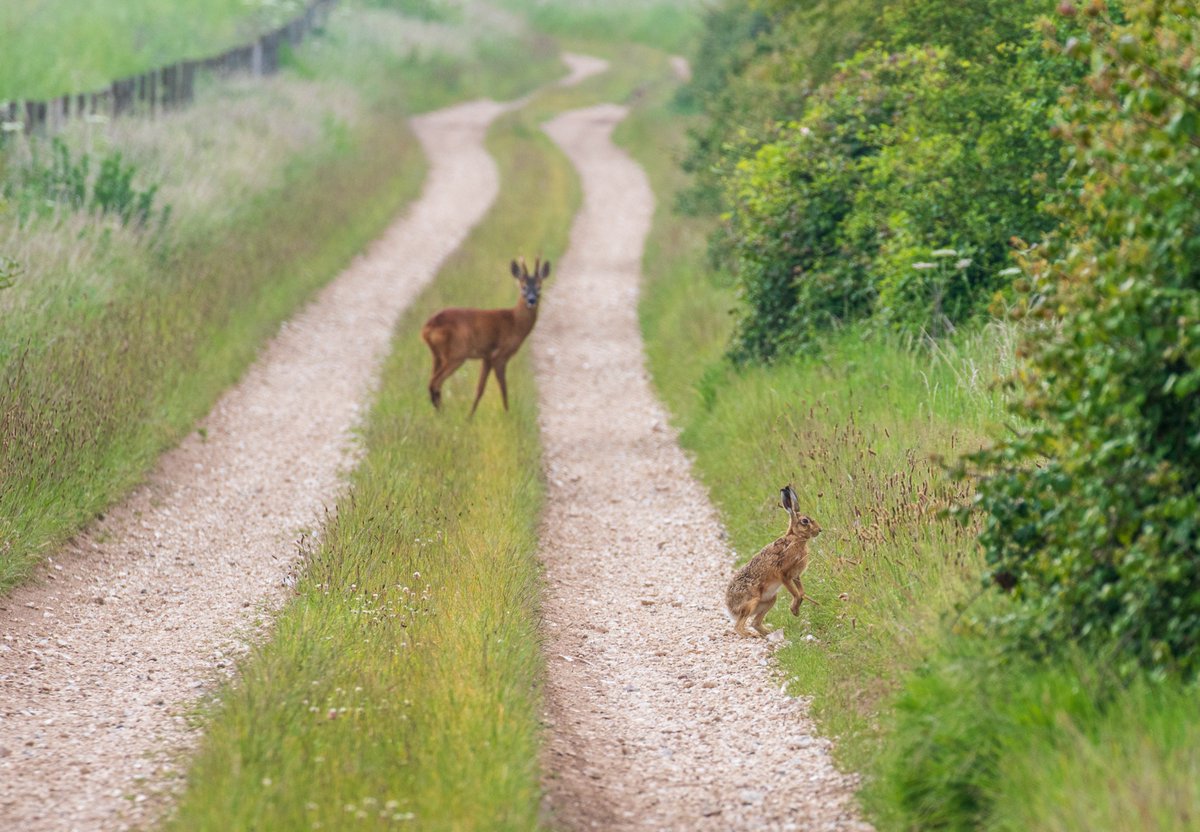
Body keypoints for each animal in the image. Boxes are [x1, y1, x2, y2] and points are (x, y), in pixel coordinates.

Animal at [421, 256, 551, 416]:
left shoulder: (487, 357)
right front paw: (507, 414)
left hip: (437, 356)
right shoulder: (500, 355)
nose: (531, 300)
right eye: (523, 287)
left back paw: (440, 414)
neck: (514, 322)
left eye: (539, 287)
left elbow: (479, 389)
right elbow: (503, 388)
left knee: (432, 383)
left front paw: (469, 417)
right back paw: (444, 415)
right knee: (435, 382)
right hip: (456, 354)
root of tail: (427, 327)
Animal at [725, 485, 821, 638]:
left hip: (770, 600)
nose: (819, 530)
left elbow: (801, 592)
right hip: (751, 601)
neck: (795, 538)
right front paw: (794, 609)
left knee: (755, 623)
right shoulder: (784, 574)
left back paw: (769, 633)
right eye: (805, 521)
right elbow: (796, 593)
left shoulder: (795, 575)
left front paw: (796, 611)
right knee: (739, 626)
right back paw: (751, 635)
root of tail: (730, 608)